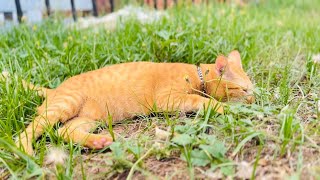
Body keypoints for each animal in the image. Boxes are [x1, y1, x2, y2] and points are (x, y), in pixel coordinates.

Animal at [15, 50, 254, 155]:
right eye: (244, 89)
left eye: (252, 88)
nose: (253, 99)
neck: (196, 75)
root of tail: (55, 89)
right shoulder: (166, 99)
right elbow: (200, 99)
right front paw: (223, 107)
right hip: (66, 104)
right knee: (29, 130)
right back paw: (24, 151)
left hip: (88, 118)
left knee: (63, 131)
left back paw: (98, 142)